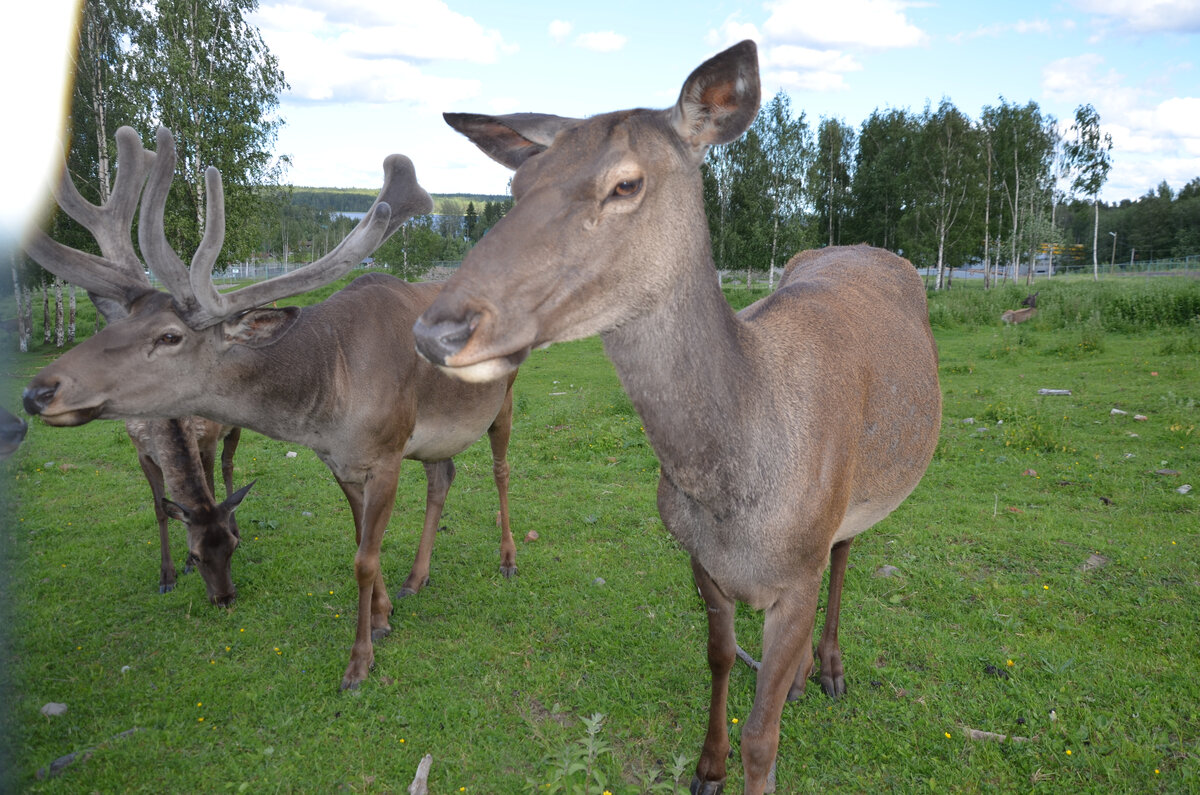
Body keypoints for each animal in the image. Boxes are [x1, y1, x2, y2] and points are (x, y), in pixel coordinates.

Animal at [22, 124, 520, 691]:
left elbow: (364, 560)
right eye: (118, 324)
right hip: (434, 437)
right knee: (444, 476)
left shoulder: (387, 454)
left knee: (501, 469)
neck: (330, 402)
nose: (39, 391)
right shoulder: (341, 462)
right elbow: (360, 542)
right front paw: (384, 615)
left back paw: (508, 559)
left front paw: (359, 661)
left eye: (169, 336)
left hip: (503, 398)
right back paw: (418, 577)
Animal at [412, 39, 945, 795]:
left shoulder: (797, 573)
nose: (438, 331)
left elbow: (763, 736)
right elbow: (719, 658)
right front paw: (705, 766)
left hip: (861, 491)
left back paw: (830, 668)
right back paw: (804, 676)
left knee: (847, 551)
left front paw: (749, 749)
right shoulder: (697, 558)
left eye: (625, 184)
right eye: (515, 188)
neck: (732, 497)